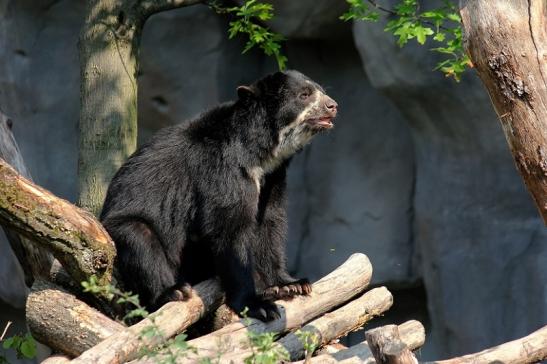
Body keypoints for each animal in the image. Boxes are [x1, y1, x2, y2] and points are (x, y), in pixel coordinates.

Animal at [100, 69, 336, 320]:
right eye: (304, 95)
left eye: (321, 90)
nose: (333, 106)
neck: (259, 154)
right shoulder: (220, 168)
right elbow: (229, 229)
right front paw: (258, 305)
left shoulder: (273, 176)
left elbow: (269, 222)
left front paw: (290, 284)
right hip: (125, 228)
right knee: (141, 240)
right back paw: (172, 291)